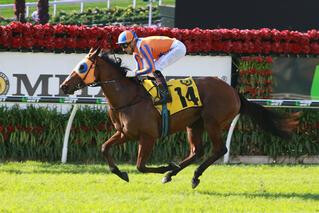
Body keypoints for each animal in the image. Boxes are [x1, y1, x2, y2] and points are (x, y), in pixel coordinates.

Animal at [60, 47, 300, 189]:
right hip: (194, 124)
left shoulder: (147, 136)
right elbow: (104, 148)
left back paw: (191, 175)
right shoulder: (124, 133)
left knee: (218, 150)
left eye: (82, 66)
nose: (64, 86)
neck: (128, 97)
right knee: (196, 151)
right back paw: (173, 174)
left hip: (212, 122)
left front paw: (163, 167)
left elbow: (140, 165)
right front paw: (120, 173)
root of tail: (234, 92)